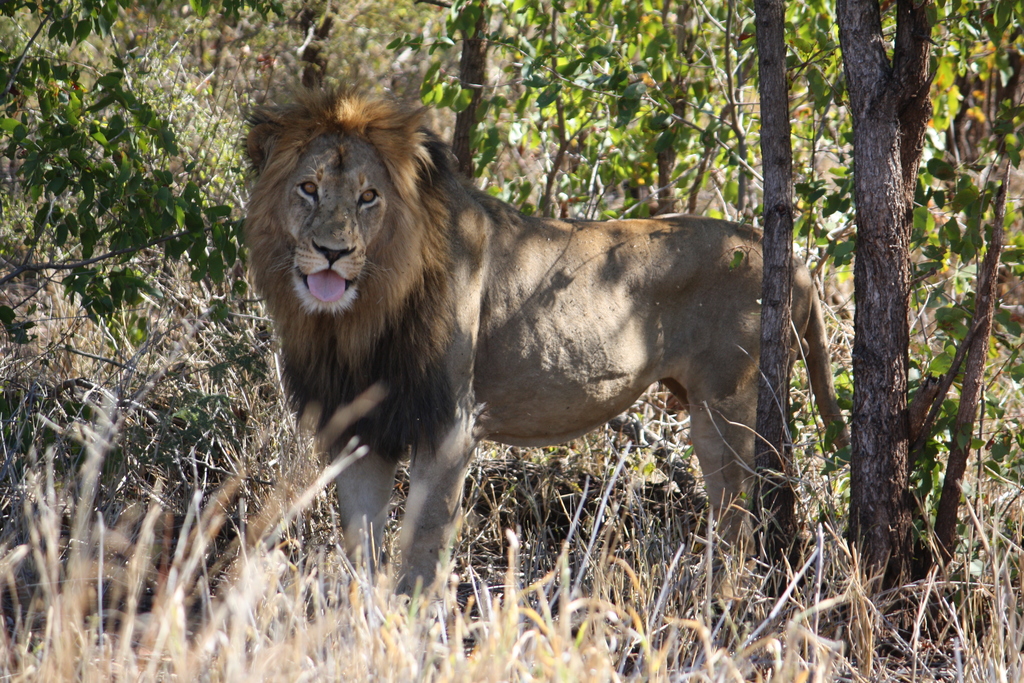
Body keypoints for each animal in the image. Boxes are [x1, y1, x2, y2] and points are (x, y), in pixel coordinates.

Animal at [244, 90, 845, 593]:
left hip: (725, 408)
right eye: (308, 188)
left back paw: (718, 608)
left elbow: (422, 549)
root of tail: (793, 259)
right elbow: (361, 552)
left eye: (368, 196)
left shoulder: (449, 425)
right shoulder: (357, 429)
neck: (356, 320)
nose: (332, 252)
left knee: (738, 523)